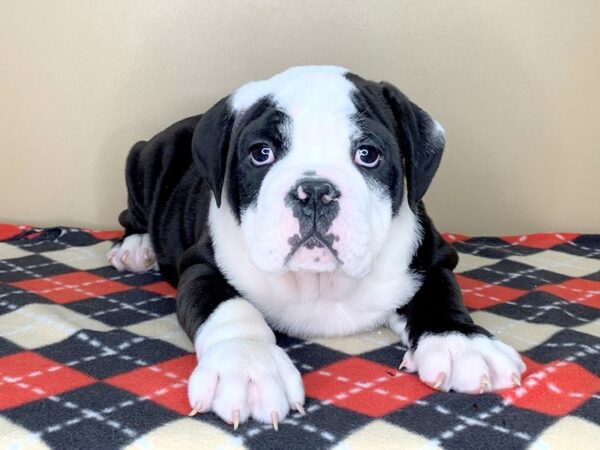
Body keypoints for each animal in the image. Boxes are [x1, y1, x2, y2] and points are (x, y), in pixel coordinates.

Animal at [108, 66, 524, 428]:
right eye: (261, 153)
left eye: (368, 155)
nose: (314, 192)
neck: (319, 282)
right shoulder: (201, 266)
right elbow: (230, 307)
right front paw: (247, 365)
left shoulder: (432, 258)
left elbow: (439, 295)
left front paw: (462, 343)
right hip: (145, 160)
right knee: (133, 212)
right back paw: (136, 247)